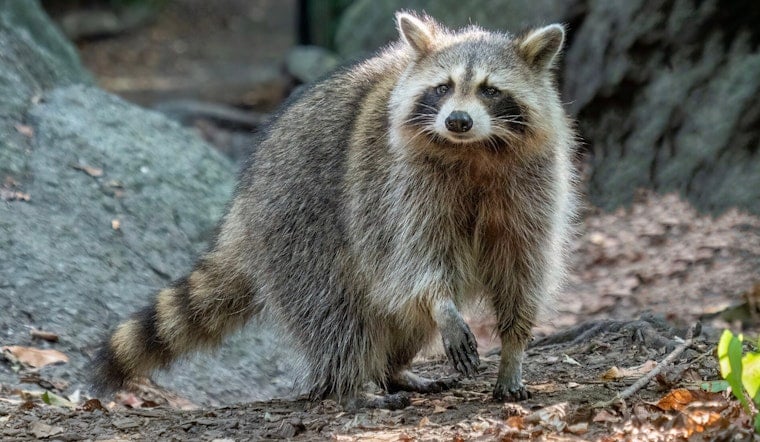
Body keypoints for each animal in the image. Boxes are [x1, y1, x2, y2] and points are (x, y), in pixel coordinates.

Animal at [93, 11, 577, 404]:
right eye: (443, 88)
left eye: (490, 91)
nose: (457, 120)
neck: (474, 150)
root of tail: (243, 208)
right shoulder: (397, 186)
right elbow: (417, 258)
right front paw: (443, 305)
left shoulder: (532, 186)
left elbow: (522, 266)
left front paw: (513, 349)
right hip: (298, 223)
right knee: (335, 309)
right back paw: (350, 383)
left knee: (398, 316)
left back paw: (393, 369)